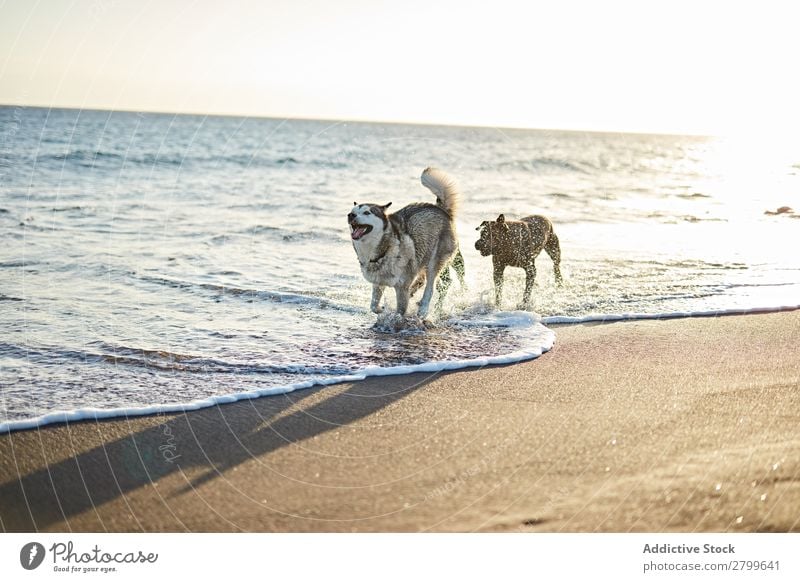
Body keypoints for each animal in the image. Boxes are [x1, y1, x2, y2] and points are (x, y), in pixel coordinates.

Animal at [348, 167, 462, 318]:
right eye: (353, 211)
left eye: (367, 212)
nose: (350, 215)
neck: (383, 250)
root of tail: (441, 209)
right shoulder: (378, 283)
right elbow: (373, 306)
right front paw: (381, 309)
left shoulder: (402, 286)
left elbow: (400, 312)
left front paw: (395, 318)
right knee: (423, 280)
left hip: (435, 261)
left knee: (431, 285)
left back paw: (423, 309)